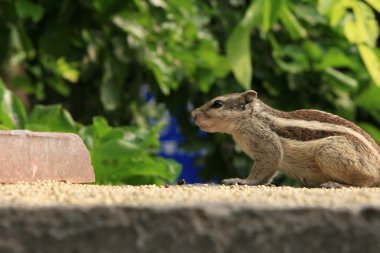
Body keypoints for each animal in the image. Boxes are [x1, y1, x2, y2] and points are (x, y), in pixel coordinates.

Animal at [191, 90, 380, 187]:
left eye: (217, 103)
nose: (193, 114)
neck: (250, 118)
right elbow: (268, 174)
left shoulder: (266, 145)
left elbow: (263, 168)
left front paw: (241, 181)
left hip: (328, 151)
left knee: (368, 181)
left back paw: (336, 184)